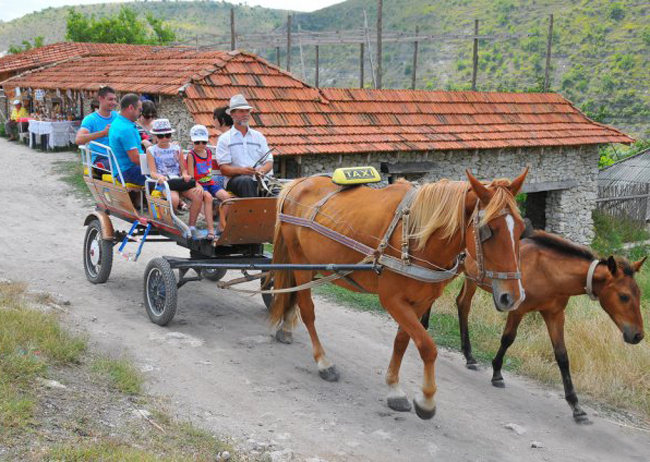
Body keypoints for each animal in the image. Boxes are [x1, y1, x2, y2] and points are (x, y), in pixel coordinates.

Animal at [268, 169, 528, 418]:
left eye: (521, 228)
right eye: (488, 230)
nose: (513, 297)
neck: (416, 235)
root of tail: (299, 182)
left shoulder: (421, 301)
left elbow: (403, 341)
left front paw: (394, 388)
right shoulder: (392, 300)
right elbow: (427, 347)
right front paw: (426, 399)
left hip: (311, 264)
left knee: (295, 296)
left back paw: (286, 328)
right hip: (300, 261)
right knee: (307, 310)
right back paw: (323, 362)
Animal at [450, 233, 644, 424]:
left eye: (639, 294)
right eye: (624, 296)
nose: (638, 335)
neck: (546, 271)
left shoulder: (554, 315)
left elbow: (562, 356)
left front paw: (575, 406)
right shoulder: (518, 310)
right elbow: (508, 339)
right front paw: (497, 373)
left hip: (468, 276)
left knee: (462, 304)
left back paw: (469, 356)